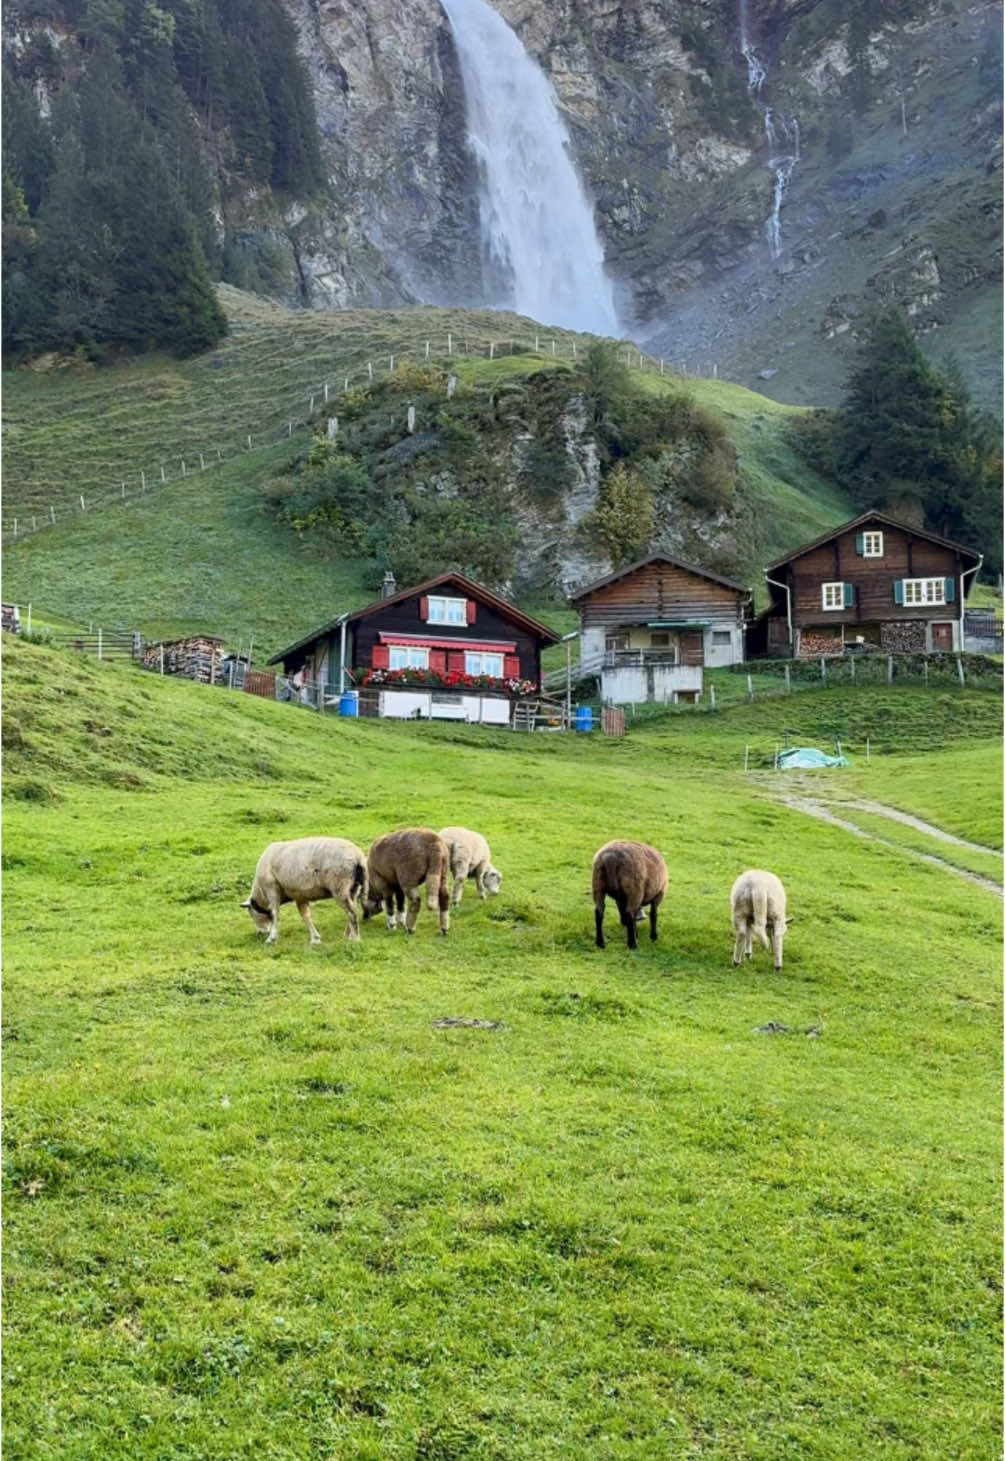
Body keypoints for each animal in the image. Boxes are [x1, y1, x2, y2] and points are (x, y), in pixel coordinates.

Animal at [241, 835, 369, 946]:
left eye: (251, 913)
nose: (260, 933)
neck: (261, 892)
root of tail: (358, 857)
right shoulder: (299, 895)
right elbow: (306, 916)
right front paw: (315, 939)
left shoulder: (272, 888)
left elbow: (274, 913)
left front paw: (271, 938)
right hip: (353, 888)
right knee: (352, 910)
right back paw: (347, 936)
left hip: (339, 886)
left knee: (351, 912)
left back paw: (355, 939)